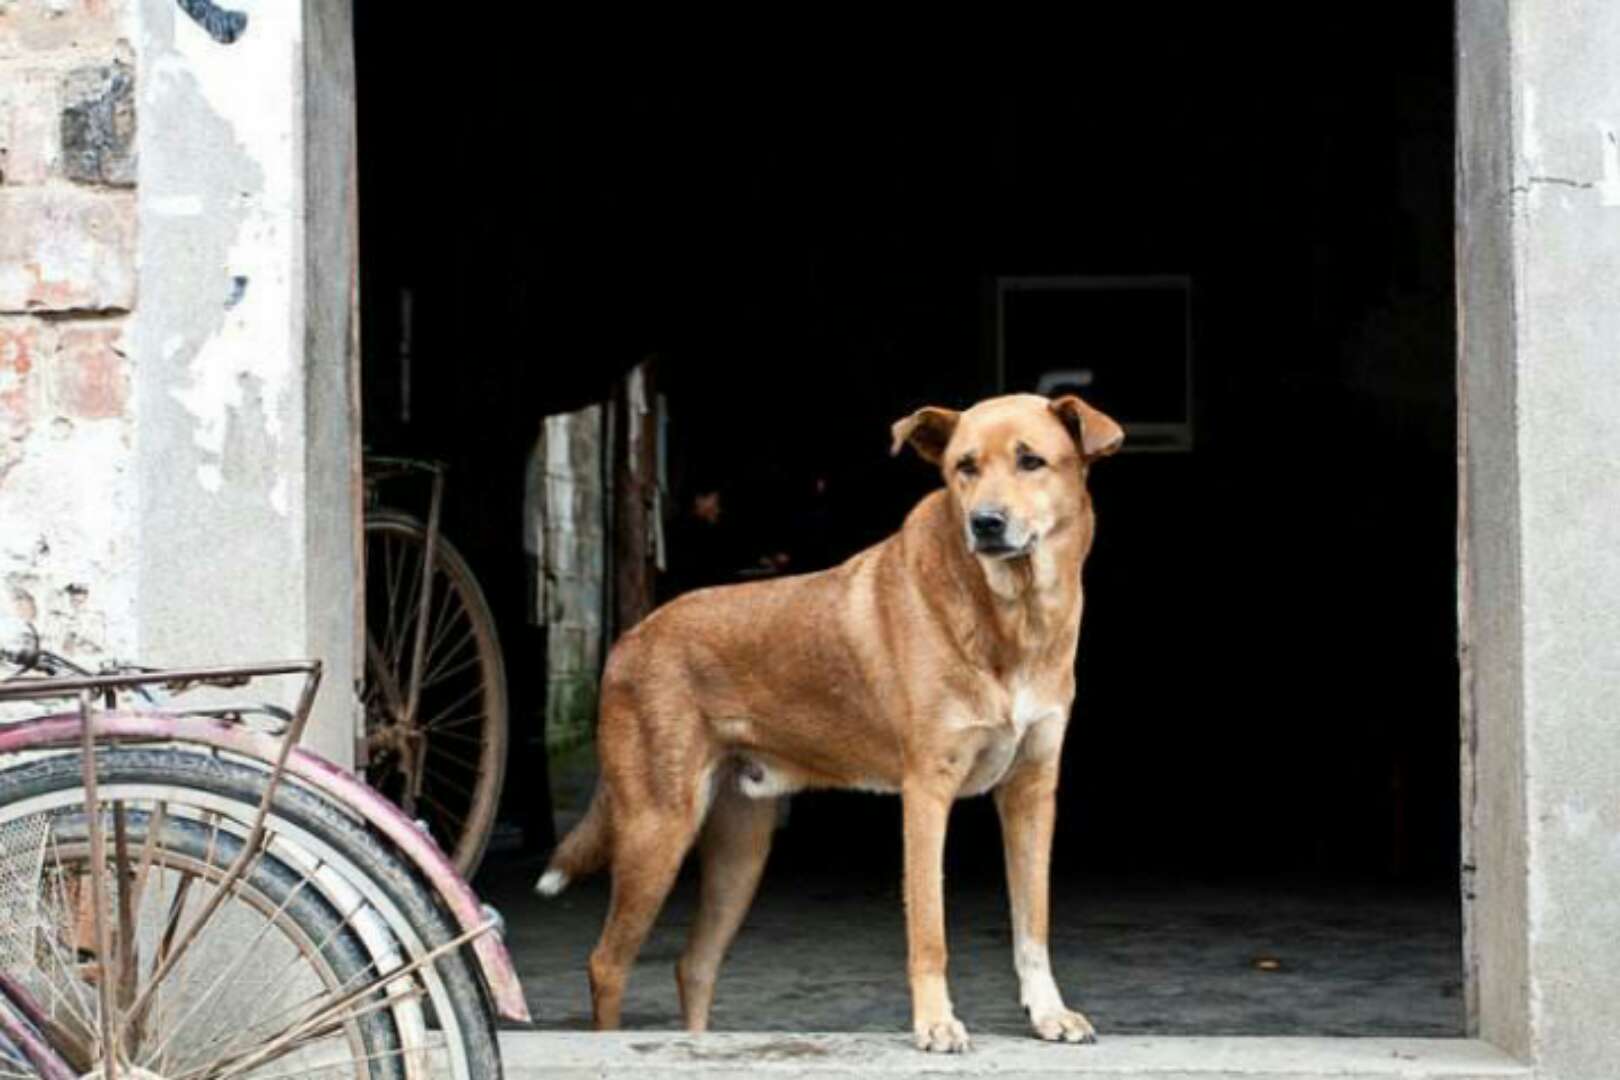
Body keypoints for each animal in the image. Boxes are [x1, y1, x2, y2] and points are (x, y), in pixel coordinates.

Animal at [537, 393, 1121, 1049]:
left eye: (1031, 461)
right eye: (964, 467)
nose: (986, 523)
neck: (1014, 615)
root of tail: (628, 639)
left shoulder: (1032, 790)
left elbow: (1033, 922)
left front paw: (1049, 1012)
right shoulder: (928, 791)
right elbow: (929, 928)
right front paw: (936, 1022)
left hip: (741, 848)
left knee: (694, 965)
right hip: (656, 828)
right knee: (607, 963)